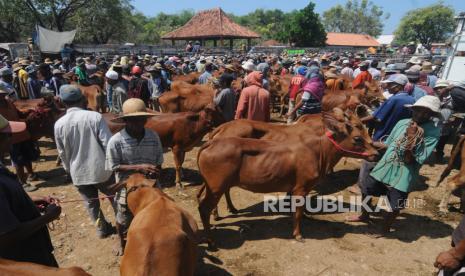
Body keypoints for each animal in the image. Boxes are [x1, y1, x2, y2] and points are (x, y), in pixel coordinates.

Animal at [198, 109, 378, 245]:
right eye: (357, 136)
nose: (376, 152)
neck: (319, 151)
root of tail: (212, 140)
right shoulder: (301, 187)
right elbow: (297, 212)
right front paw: (298, 234)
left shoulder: (300, 187)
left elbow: (298, 208)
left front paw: (304, 215)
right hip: (216, 187)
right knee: (203, 208)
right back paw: (211, 240)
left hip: (217, 185)